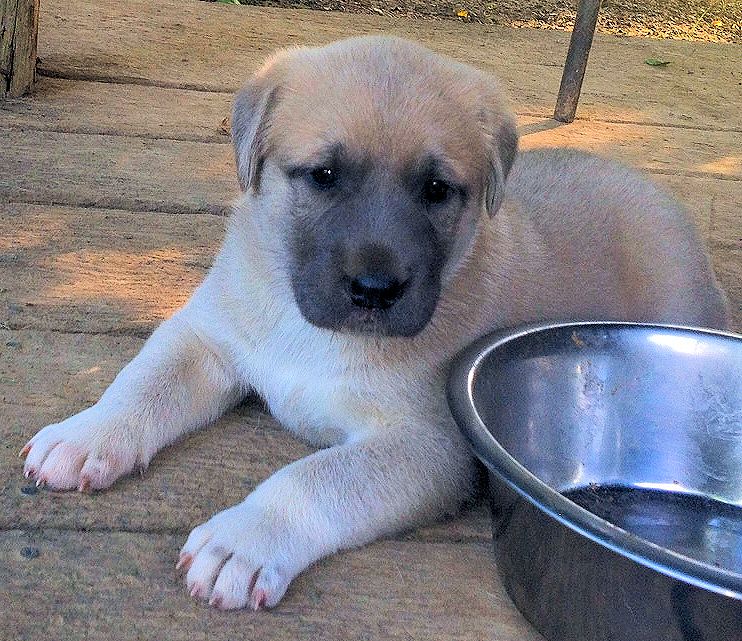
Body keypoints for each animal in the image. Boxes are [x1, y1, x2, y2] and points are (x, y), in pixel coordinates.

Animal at [18, 36, 732, 608]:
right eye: (324, 176)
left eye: (437, 190)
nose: (375, 290)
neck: (308, 329)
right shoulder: (207, 338)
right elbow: (143, 384)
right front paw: (86, 435)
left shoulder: (428, 446)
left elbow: (315, 481)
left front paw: (244, 539)